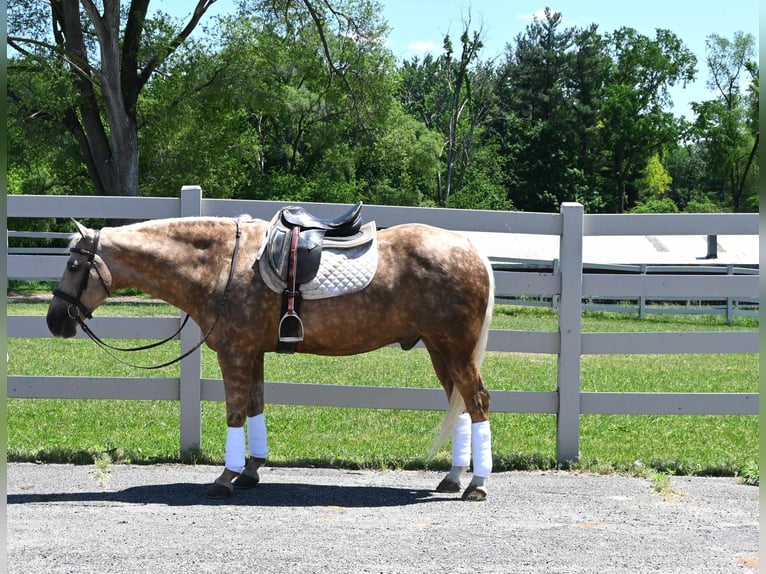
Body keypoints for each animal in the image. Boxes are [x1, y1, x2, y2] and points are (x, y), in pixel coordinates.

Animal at [45, 208, 498, 504]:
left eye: (73, 265)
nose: (54, 321)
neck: (222, 263)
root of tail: (470, 248)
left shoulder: (234, 353)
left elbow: (234, 413)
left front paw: (225, 477)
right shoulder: (253, 352)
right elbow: (255, 407)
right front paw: (251, 470)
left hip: (455, 349)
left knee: (476, 402)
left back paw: (476, 484)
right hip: (440, 350)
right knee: (459, 405)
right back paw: (453, 478)